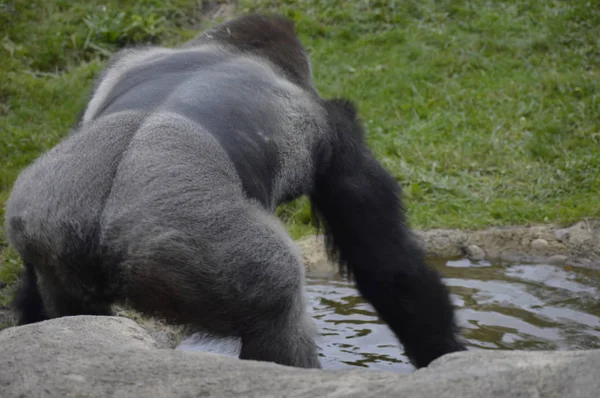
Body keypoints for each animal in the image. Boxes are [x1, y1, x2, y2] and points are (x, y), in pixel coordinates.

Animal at [3, 14, 464, 370]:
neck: (231, 48)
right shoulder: (338, 128)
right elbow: (388, 268)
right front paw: (444, 356)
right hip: (199, 250)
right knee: (279, 313)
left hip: (48, 232)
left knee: (62, 310)